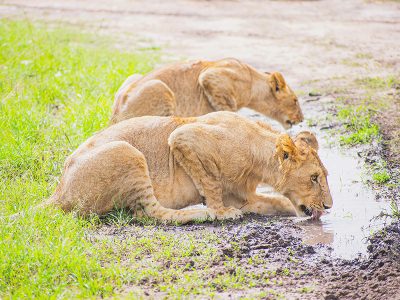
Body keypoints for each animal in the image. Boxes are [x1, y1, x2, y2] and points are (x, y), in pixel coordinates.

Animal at [31, 110, 332, 223]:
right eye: (314, 178)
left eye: (322, 176)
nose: (329, 207)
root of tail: (58, 192)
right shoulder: (185, 137)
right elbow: (210, 183)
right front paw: (220, 211)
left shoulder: (245, 196)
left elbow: (279, 202)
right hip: (127, 152)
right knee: (149, 213)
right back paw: (199, 213)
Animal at [109, 58, 304, 129]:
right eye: (295, 100)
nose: (302, 119)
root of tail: (114, 116)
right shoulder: (211, 75)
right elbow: (227, 110)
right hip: (159, 87)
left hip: (133, 77)